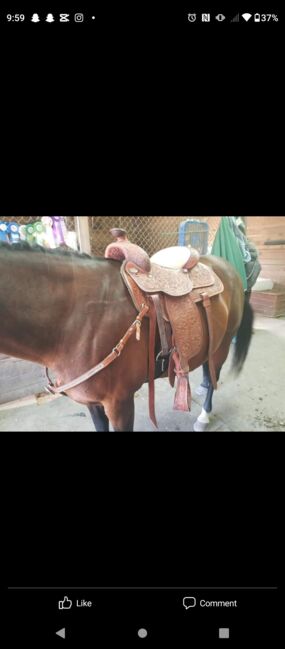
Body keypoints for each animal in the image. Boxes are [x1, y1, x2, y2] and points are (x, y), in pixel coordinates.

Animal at [0, 239, 253, 430]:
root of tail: (229, 268)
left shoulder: (119, 403)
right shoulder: (93, 404)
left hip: (223, 345)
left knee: (214, 376)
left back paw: (203, 416)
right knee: (207, 369)